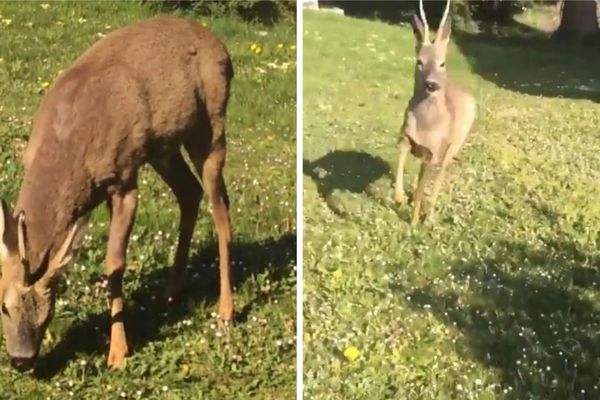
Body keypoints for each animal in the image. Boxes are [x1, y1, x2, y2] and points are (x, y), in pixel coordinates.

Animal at [0, 16, 234, 372]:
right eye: (3, 306)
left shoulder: (124, 180)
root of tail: (221, 47)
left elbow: (114, 263)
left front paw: (118, 352)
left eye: (47, 309)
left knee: (220, 206)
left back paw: (226, 311)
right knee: (190, 193)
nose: (20, 360)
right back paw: (172, 291)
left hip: (210, 128)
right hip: (162, 147)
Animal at [394, 0, 478, 225]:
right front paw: (399, 196)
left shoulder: (434, 152)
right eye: (419, 61)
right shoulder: (406, 137)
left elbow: (423, 187)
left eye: (442, 63)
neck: (426, 125)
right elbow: (402, 156)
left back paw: (429, 215)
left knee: (441, 175)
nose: (432, 84)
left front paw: (414, 222)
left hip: (454, 146)